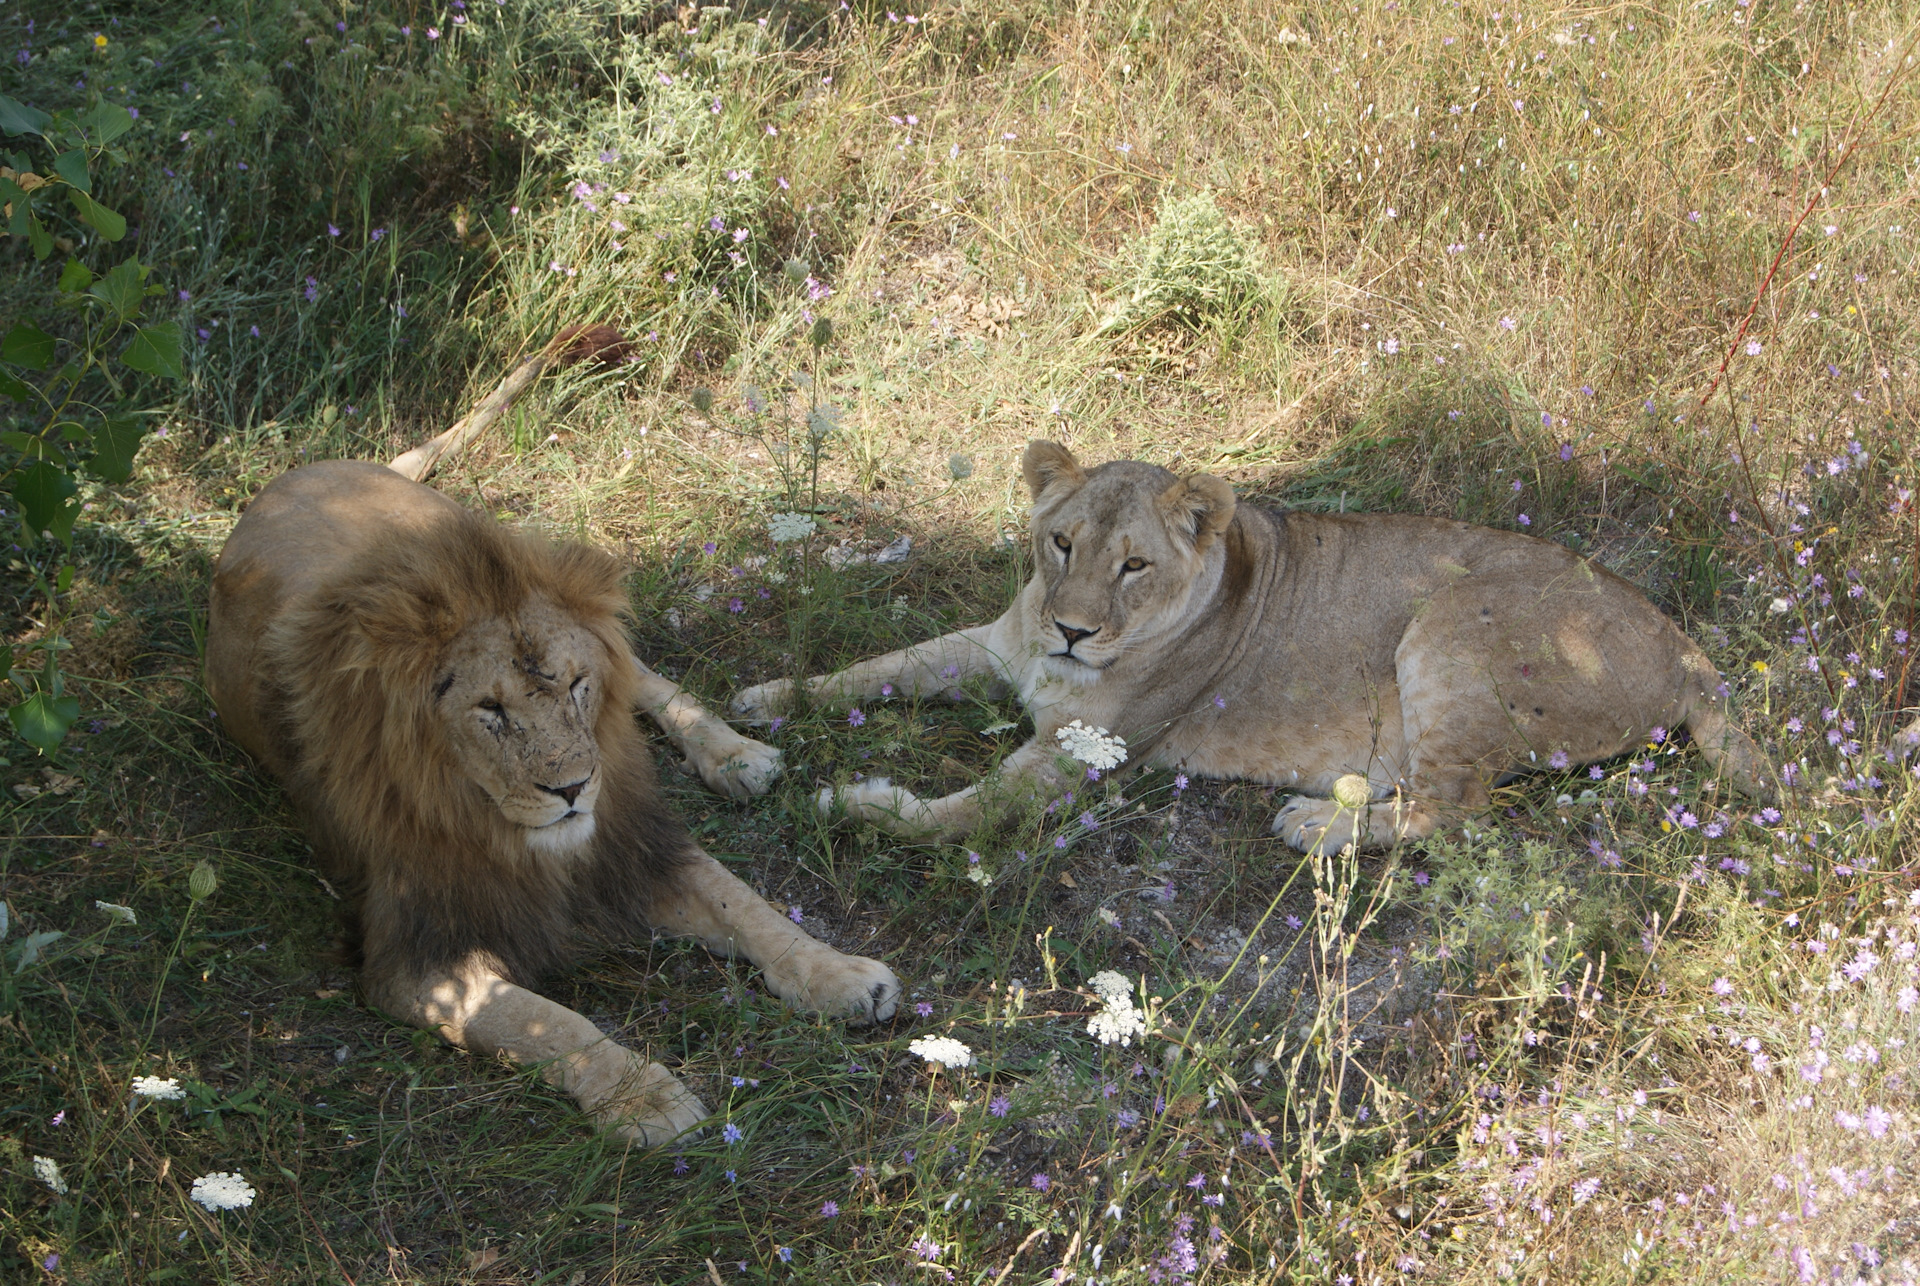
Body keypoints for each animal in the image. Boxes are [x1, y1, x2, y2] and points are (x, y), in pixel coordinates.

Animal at [210, 458, 898, 1143]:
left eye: (575, 685)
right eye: (490, 708)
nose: (571, 787)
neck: (496, 826)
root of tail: (304, 469)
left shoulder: (632, 848)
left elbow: (751, 908)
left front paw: (841, 976)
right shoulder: (414, 957)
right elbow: (545, 1024)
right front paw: (643, 1099)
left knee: (642, 673)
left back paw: (735, 755)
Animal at [729, 437, 1766, 852]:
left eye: (1134, 565)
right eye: (1061, 543)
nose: (1071, 628)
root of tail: (1686, 650)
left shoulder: (1081, 751)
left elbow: (963, 814)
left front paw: (853, 801)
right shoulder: (991, 650)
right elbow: (873, 670)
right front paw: (759, 705)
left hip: (1449, 625)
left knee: (1454, 809)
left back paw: (1315, 826)